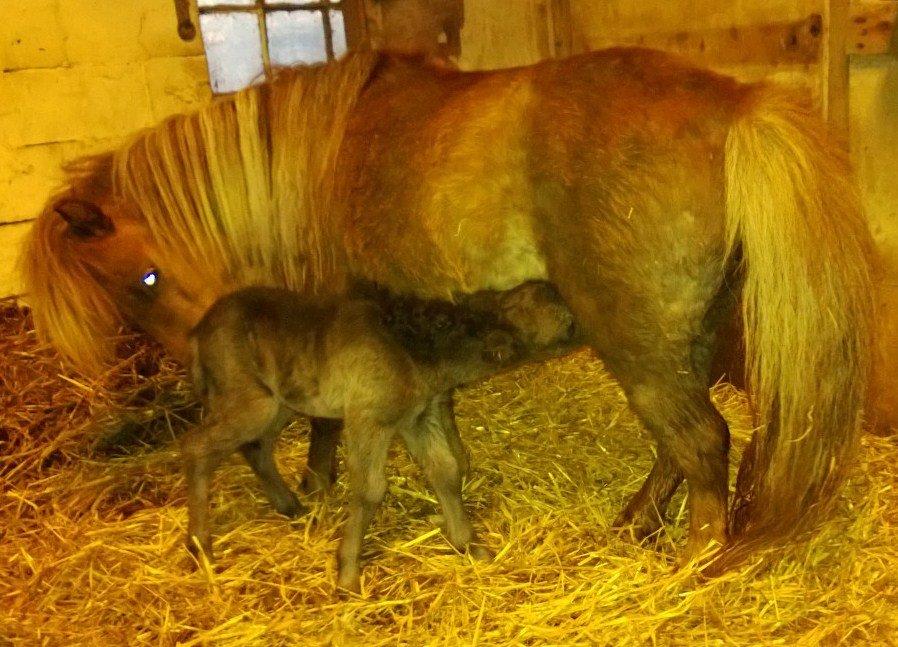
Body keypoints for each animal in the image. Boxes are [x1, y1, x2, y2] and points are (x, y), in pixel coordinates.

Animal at [22, 49, 876, 572]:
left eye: (142, 280)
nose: (210, 354)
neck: (310, 161)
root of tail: (738, 103)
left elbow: (326, 421)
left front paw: (317, 478)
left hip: (638, 342)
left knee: (700, 441)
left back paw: (695, 557)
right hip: (674, 339)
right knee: (682, 445)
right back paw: (635, 523)